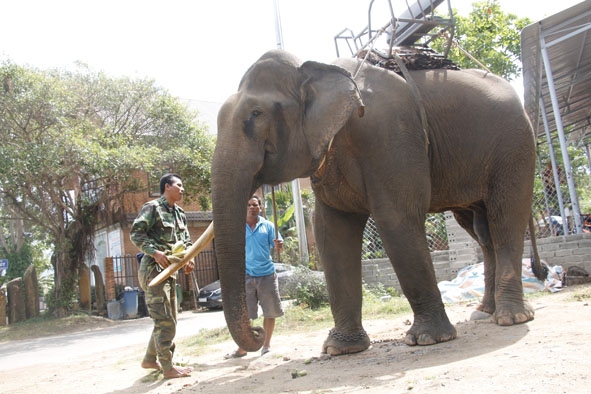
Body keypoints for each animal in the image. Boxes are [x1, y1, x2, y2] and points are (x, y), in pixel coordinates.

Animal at [212, 47, 544, 356]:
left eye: (256, 114)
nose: (257, 332)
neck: (316, 68)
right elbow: (331, 232)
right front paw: (340, 349)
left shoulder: (389, 133)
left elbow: (396, 218)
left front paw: (427, 339)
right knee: (482, 231)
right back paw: (484, 312)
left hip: (515, 147)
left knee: (506, 219)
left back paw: (512, 317)